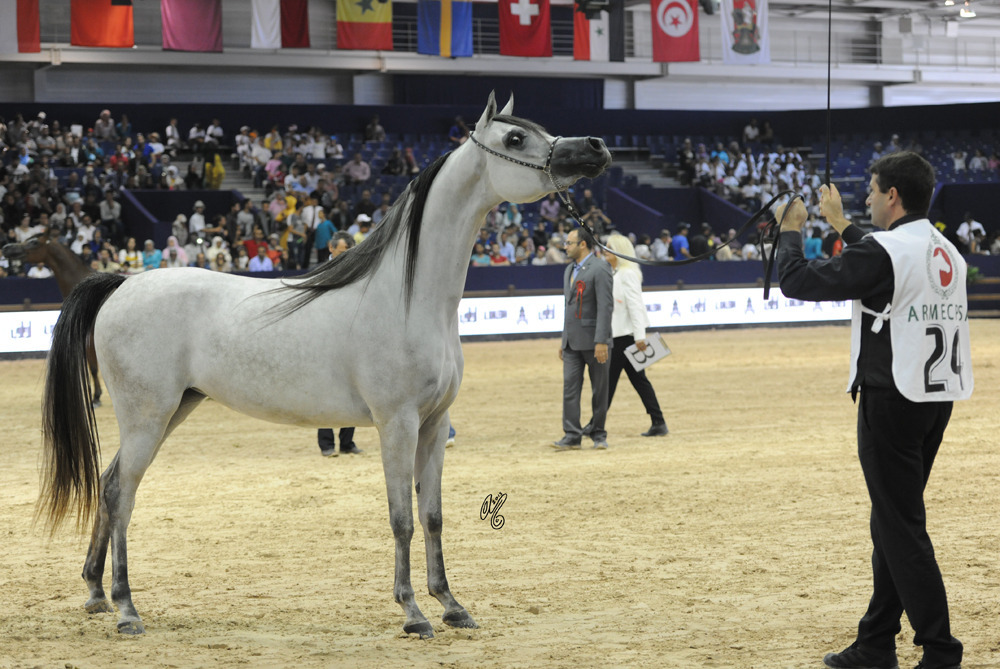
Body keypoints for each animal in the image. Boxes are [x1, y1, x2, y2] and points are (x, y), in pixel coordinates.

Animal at [38, 93, 611, 637]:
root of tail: (121, 284)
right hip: (147, 416)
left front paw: (451, 605)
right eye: (515, 138)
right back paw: (125, 609)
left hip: (172, 409)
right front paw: (413, 613)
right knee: (120, 492)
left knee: (109, 484)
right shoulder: (397, 423)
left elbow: (432, 517)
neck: (409, 297)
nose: (595, 147)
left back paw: (95, 592)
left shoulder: (434, 423)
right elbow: (401, 519)